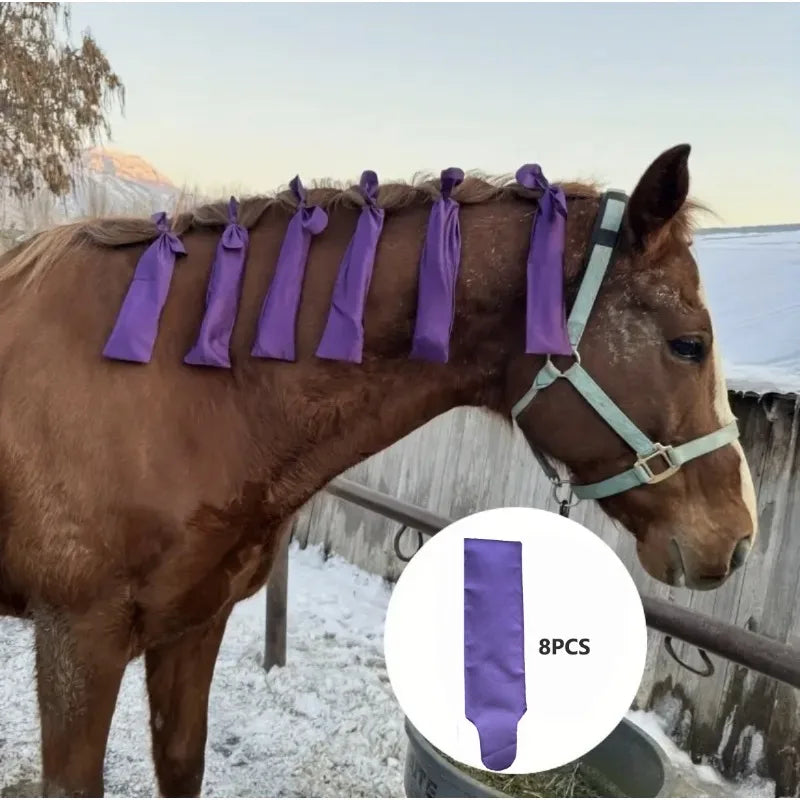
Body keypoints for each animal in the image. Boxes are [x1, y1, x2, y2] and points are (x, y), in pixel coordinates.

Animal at [0, 143, 757, 797]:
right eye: (689, 344)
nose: (738, 536)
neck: (177, 385)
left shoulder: (193, 626)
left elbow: (183, 764)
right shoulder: (79, 644)